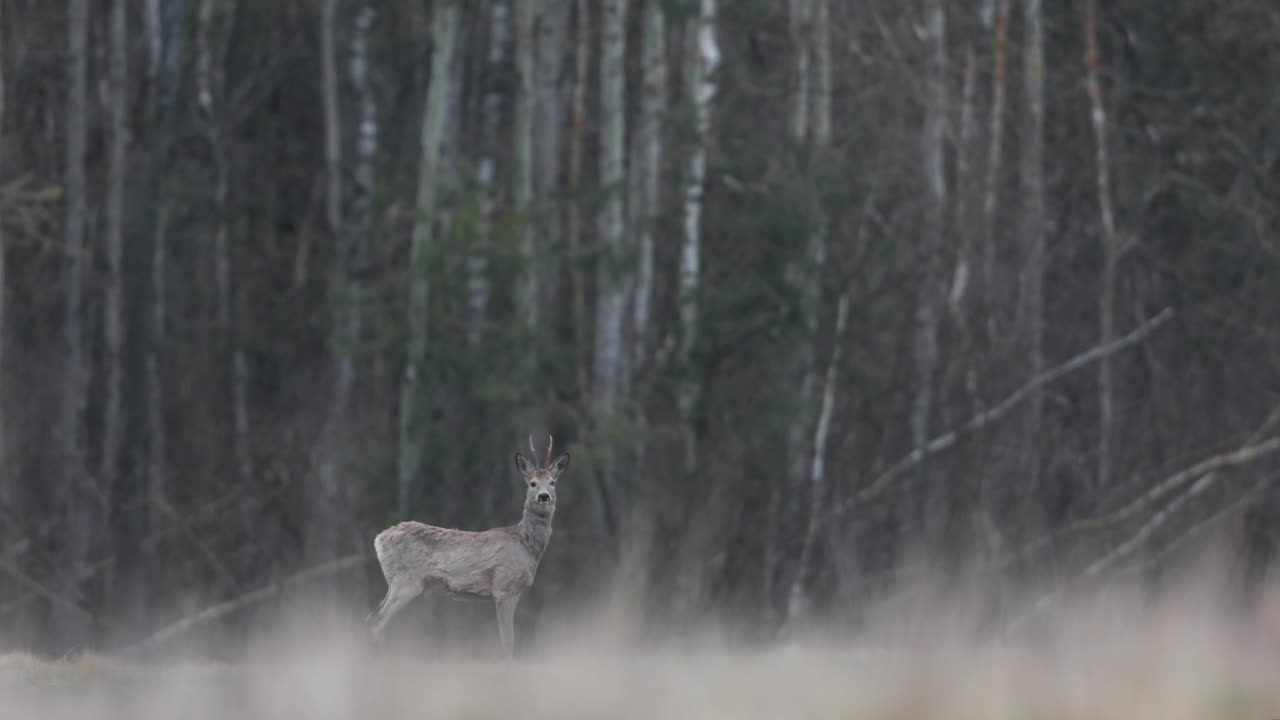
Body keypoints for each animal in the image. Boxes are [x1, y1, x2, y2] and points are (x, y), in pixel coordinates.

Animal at [371, 427, 570, 653]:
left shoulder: (516, 592)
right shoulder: (503, 587)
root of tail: (379, 539)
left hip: (396, 582)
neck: (525, 545)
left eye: (553, 482)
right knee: (378, 621)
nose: (544, 496)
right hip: (406, 580)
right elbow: (507, 641)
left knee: (373, 617)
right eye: (532, 483)